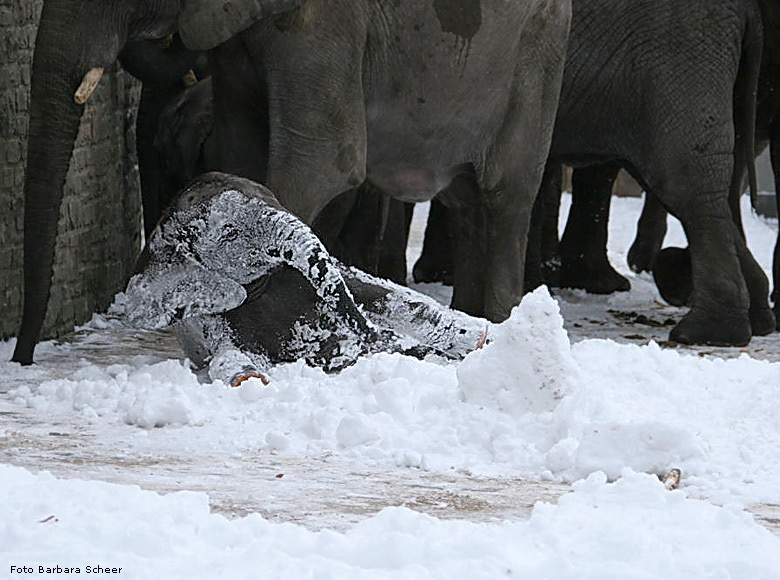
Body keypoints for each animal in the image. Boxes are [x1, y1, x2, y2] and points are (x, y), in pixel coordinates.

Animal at [122, 172, 488, 386]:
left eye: (274, 199)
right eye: (229, 232)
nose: (370, 338)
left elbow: (386, 295)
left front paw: (476, 339)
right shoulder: (215, 318)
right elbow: (229, 354)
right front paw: (249, 380)